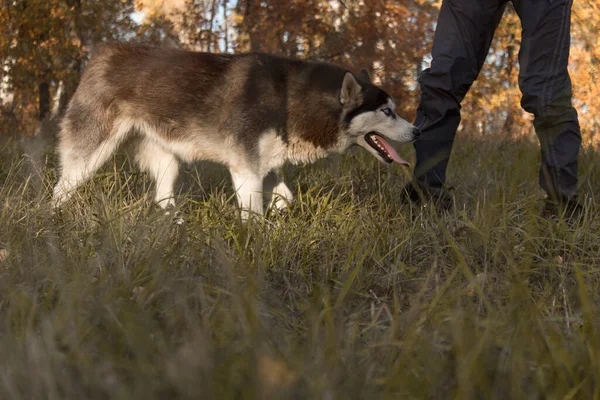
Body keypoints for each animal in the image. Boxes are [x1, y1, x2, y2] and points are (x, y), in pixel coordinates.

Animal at [52, 41, 418, 219]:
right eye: (387, 112)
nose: (417, 132)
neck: (289, 98)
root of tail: (103, 53)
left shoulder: (262, 167)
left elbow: (285, 198)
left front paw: (280, 221)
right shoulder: (245, 169)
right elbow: (253, 214)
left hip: (168, 163)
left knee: (162, 197)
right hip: (89, 156)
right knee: (61, 189)